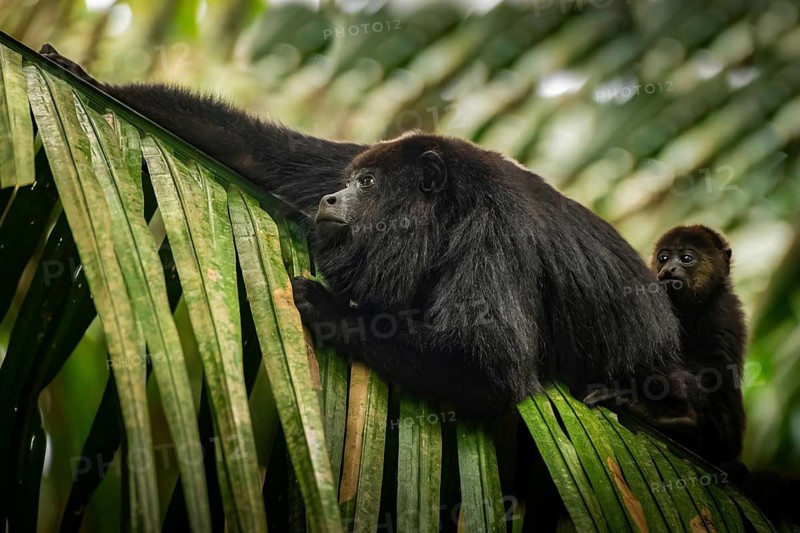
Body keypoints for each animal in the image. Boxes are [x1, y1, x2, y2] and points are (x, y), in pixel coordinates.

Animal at [39, 45, 684, 417]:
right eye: (352, 179)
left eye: (369, 185)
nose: (333, 196)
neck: (450, 209)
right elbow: (260, 151)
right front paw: (79, 74)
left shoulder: (496, 234)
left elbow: (492, 363)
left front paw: (329, 309)